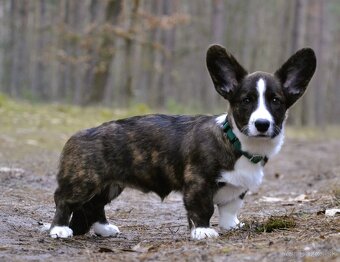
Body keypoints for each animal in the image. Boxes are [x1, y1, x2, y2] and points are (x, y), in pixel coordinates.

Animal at [49, 44, 316, 239]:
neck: (237, 144)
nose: (262, 124)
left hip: (111, 185)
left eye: (276, 101)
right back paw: (60, 229)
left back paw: (104, 228)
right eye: (246, 101)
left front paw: (231, 226)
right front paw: (203, 231)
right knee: (64, 200)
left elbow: (229, 209)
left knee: (93, 205)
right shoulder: (198, 183)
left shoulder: (237, 190)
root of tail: (77, 134)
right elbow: (203, 208)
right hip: (83, 181)